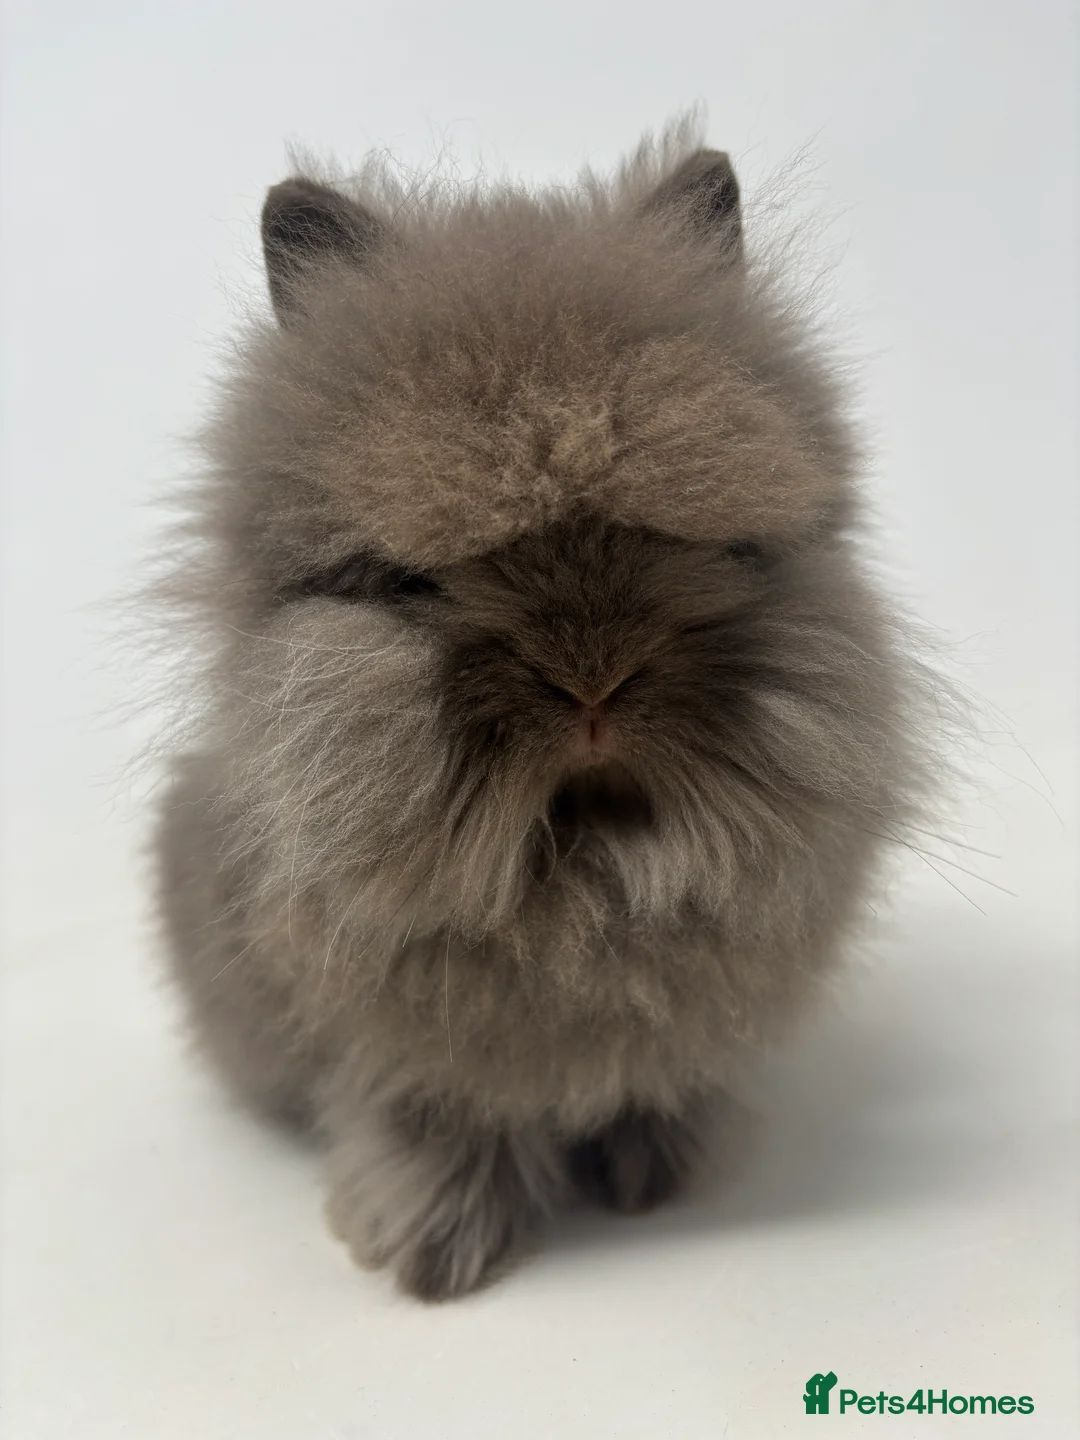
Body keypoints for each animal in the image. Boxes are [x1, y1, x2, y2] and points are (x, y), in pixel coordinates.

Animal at [154, 122, 935, 1301]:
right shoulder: (405, 1055)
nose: (593, 685)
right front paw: (435, 1257)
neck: (581, 863)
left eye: (686, 544)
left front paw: (659, 1179)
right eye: (422, 580)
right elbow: (436, 1125)